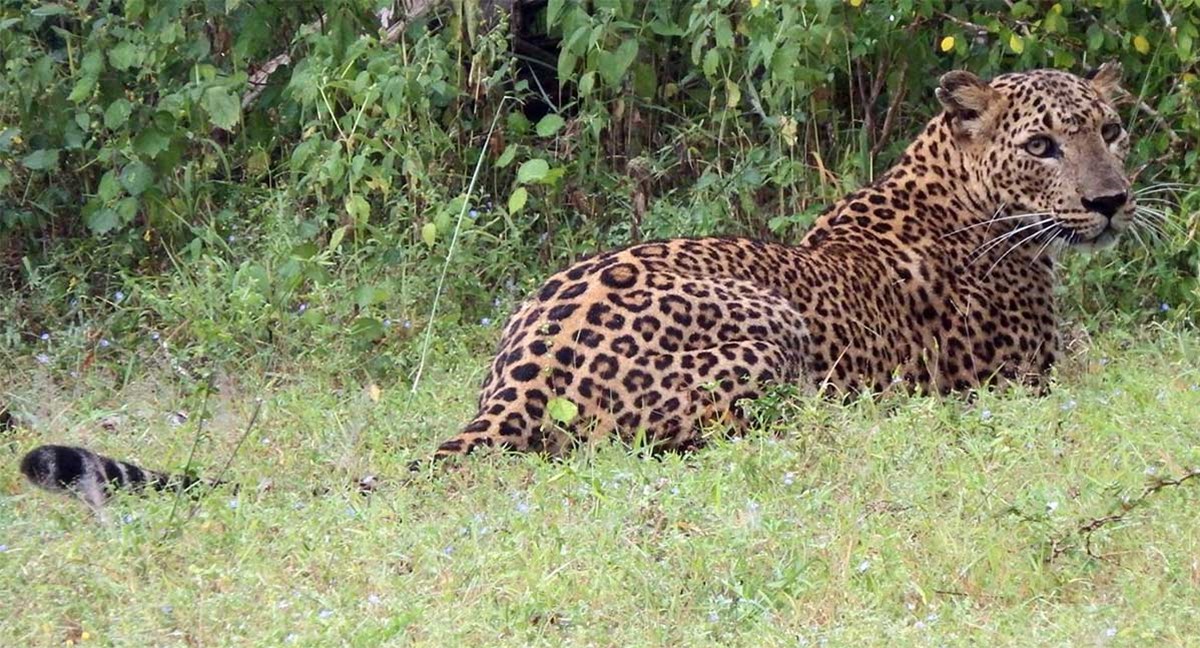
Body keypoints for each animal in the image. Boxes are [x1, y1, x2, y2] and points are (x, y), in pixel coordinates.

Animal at [23, 63, 1137, 504]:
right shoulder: (1029, 381)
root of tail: (513, 379)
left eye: (1112, 130)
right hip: (765, 332)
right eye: (1043, 144)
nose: (1115, 201)